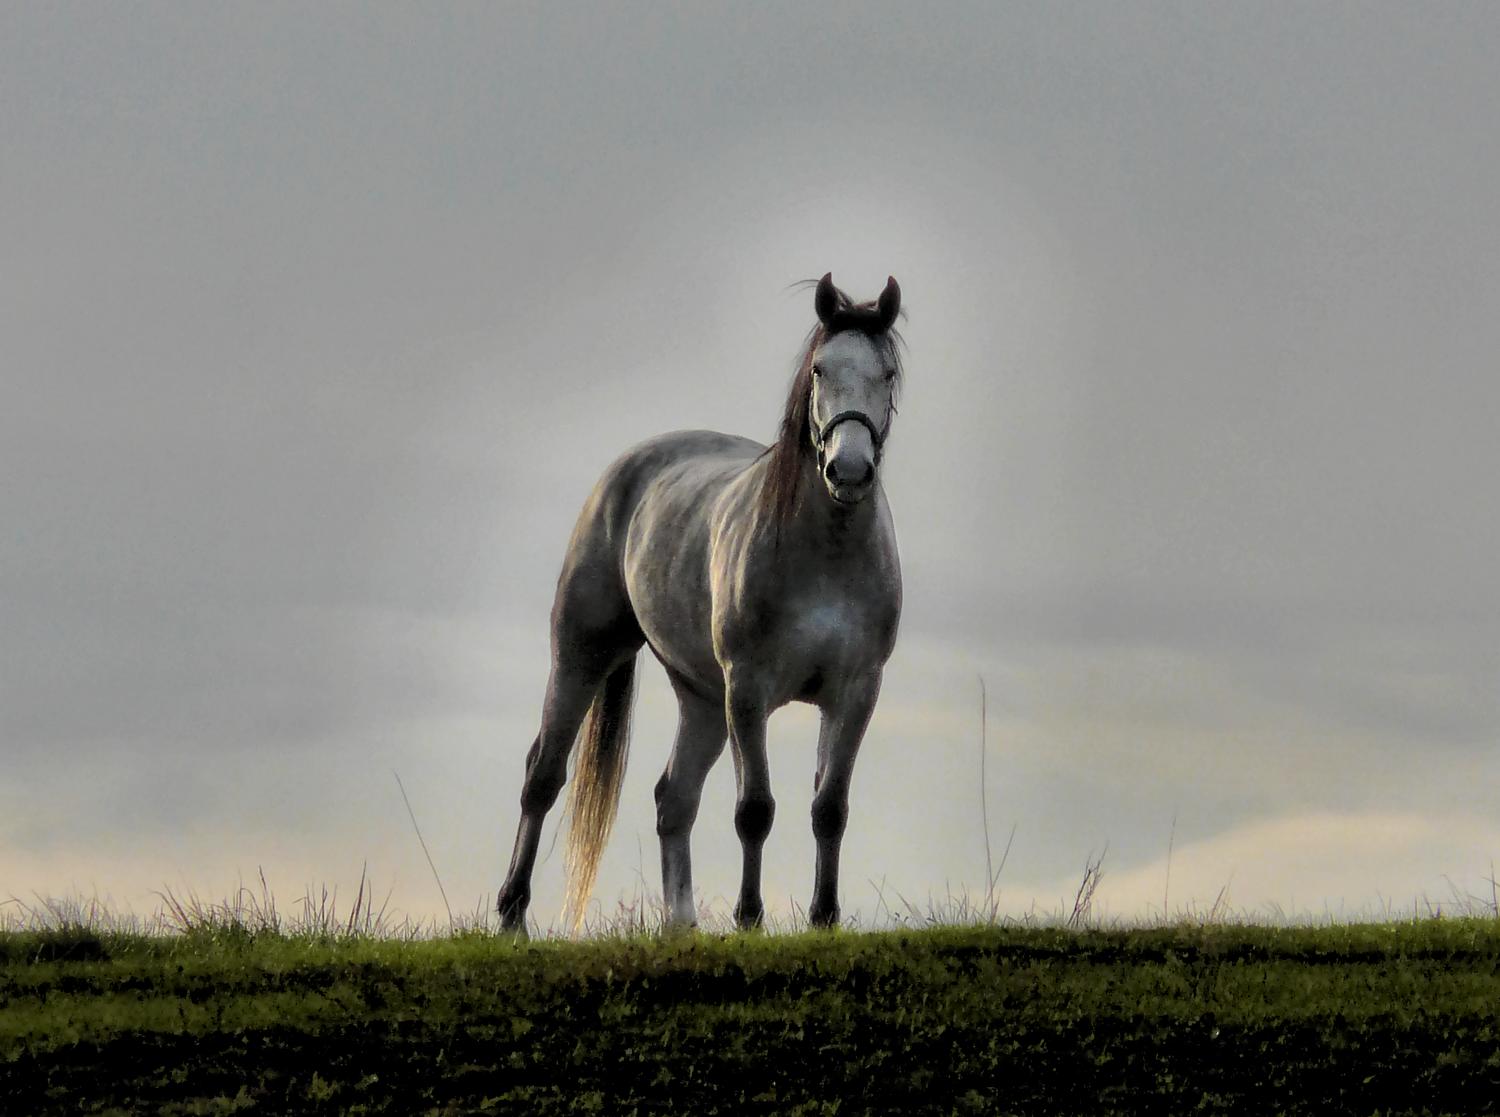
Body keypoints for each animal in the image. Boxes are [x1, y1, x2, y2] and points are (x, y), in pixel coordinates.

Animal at [496, 273, 905, 934]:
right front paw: (749, 918)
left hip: (703, 699)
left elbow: (829, 808)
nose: (848, 470)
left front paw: (823, 917)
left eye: (886, 374)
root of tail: (625, 471)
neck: (826, 551)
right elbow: (755, 809)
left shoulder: (855, 692)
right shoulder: (749, 689)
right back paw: (511, 912)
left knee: (675, 798)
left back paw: (681, 921)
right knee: (544, 776)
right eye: (820, 369)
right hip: (583, 656)